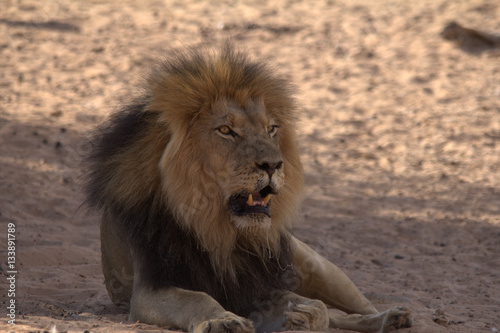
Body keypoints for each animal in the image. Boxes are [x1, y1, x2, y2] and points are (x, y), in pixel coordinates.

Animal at [86, 44, 412, 332]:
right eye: (226, 130)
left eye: (271, 129)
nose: (273, 164)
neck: (217, 229)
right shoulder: (150, 288)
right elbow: (197, 299)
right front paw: (223, 320)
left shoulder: (256, 284)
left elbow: (319, 308)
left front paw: (301, 318)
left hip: (318, 266)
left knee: (352, 308)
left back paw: (390, 317)